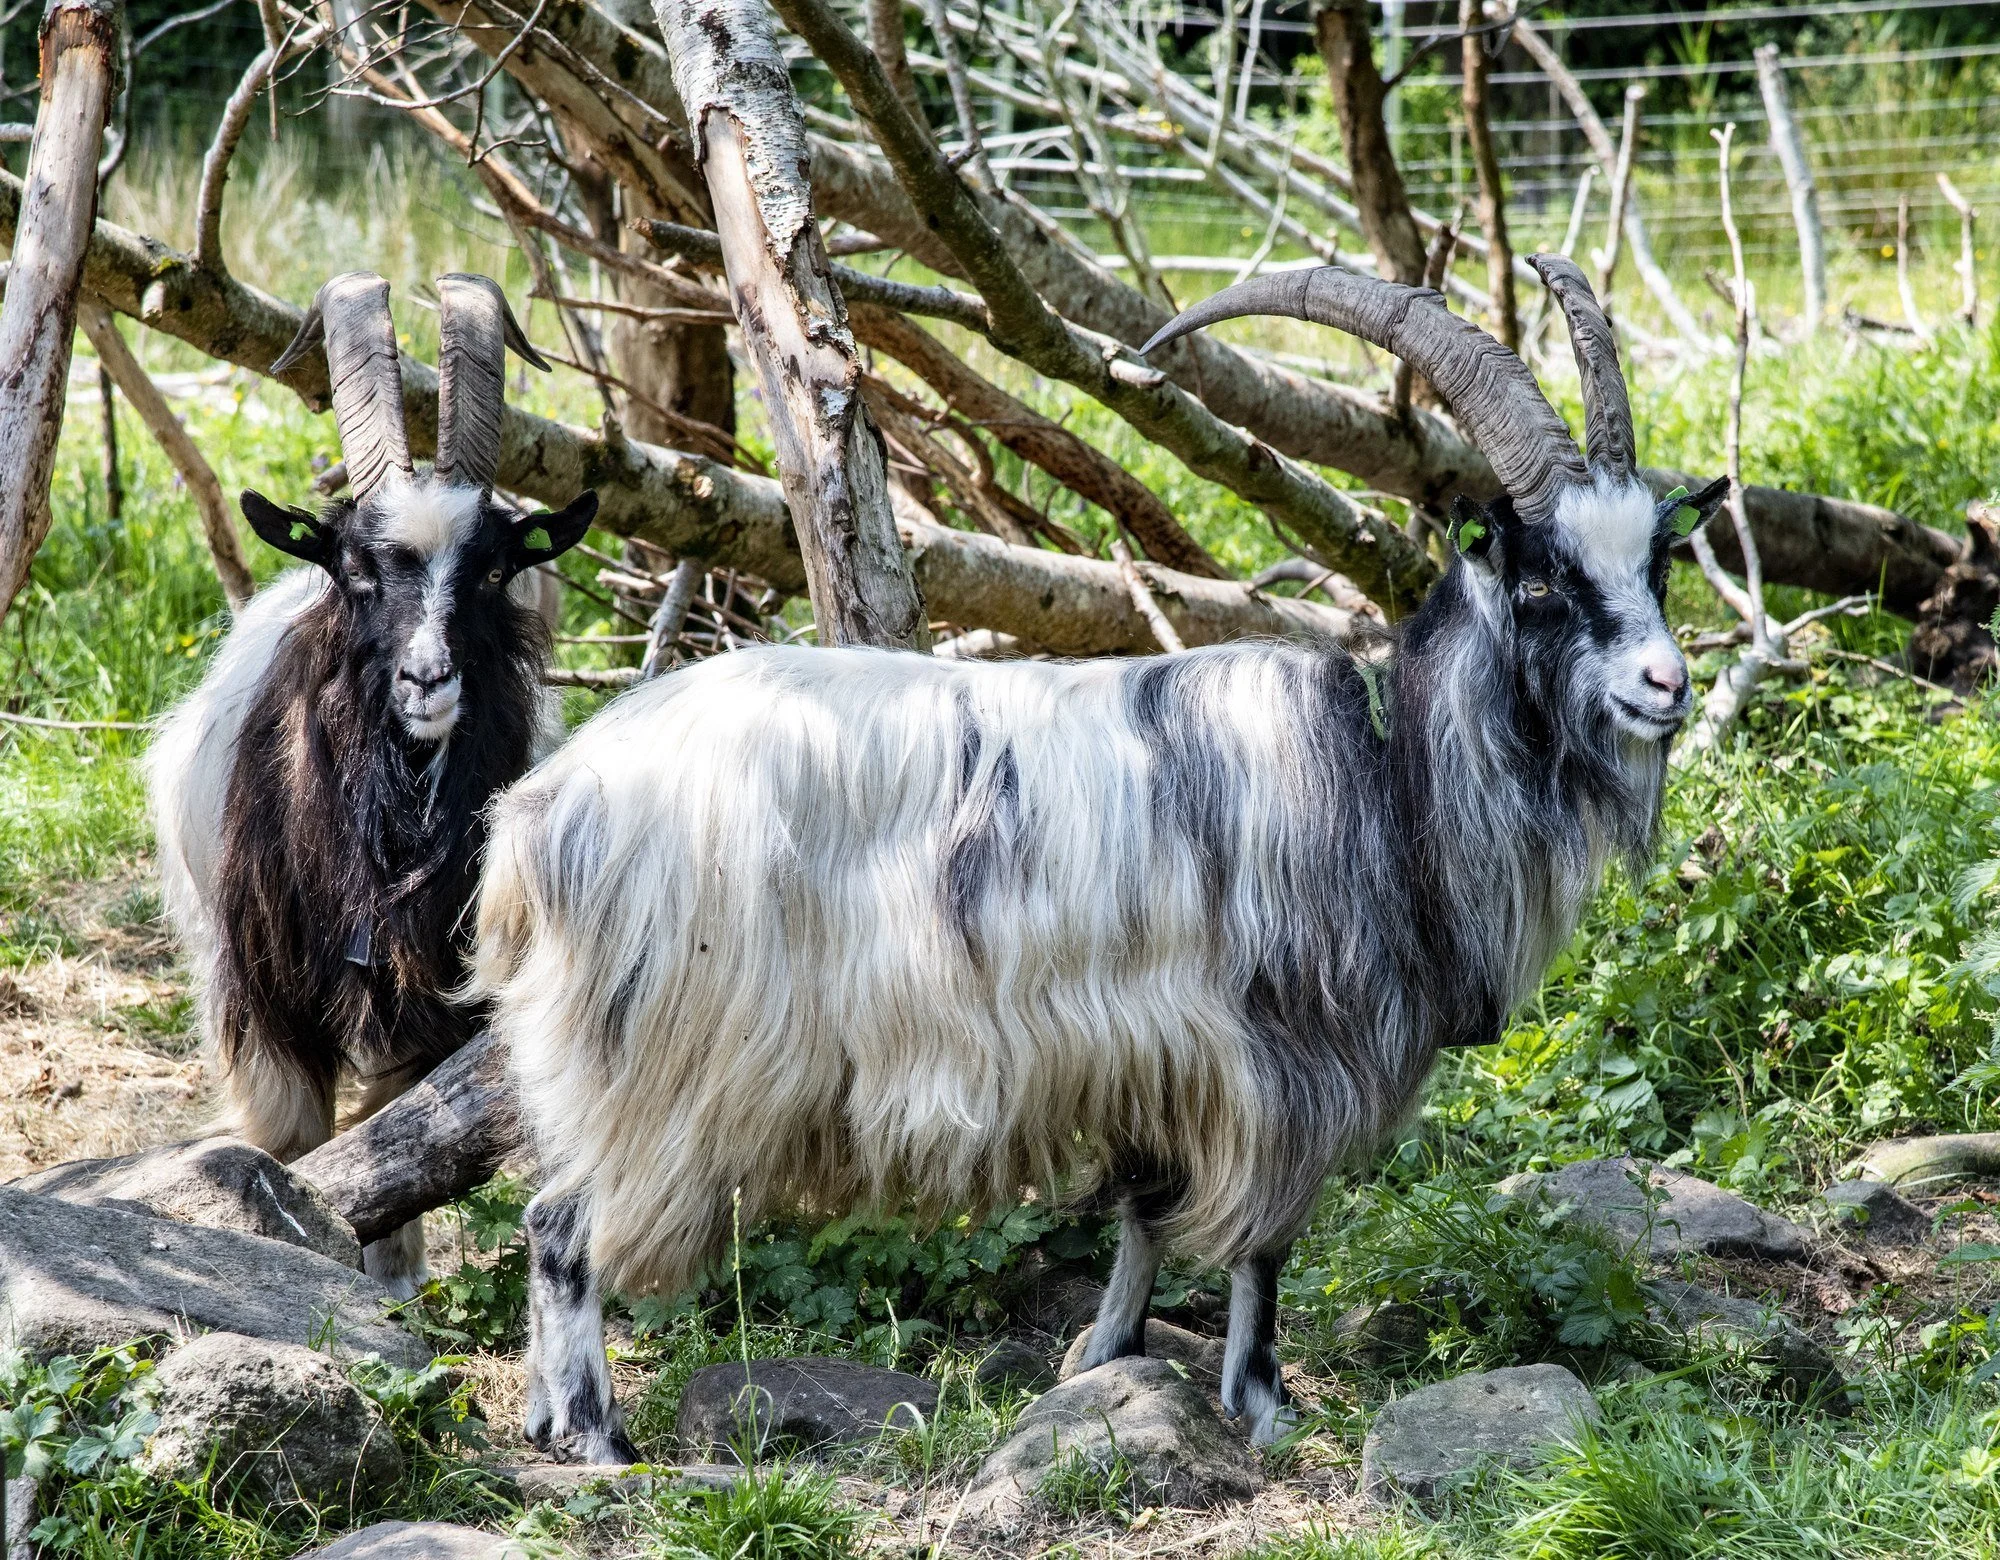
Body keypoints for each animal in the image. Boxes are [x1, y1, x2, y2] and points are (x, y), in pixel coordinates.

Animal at [148, 272, 596, 1295]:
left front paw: (392, 1283)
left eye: (496, 569)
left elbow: (402, 1135)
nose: (428, 680)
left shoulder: (430, 990)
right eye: (352, 566)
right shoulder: (264, 1002)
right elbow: (293, 1143)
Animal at [471, 257, 1729, 1460]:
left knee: (542, 1215)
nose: (1666, 683)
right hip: (664, 1057)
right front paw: (1260, 1404)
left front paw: (1103, 1359)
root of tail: (541, 814)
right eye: (1539, 578)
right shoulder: (1276, 1060)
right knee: (564, 1226)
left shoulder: (1147, 1052)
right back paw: (597, 1438)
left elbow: (1141, 1213)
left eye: (1657, 565)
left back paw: (540, 1419)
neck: (1389, 783)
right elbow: (1260, 1243)